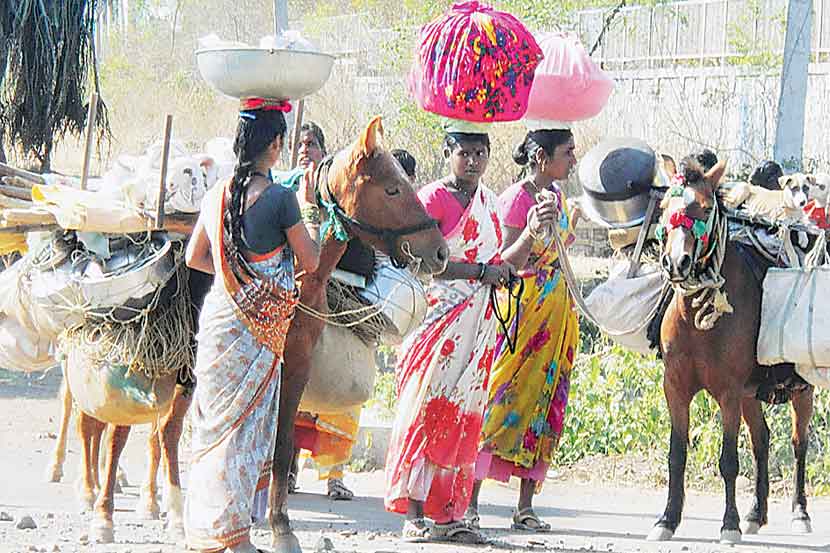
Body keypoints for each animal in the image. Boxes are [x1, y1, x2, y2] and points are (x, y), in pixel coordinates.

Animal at [268, 114, 448, 548]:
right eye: (392, 188)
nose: (440, 252)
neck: (302, 270)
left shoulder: (297, 363)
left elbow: (281, 443)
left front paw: (279, 523)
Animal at [652, 157, 816, 540]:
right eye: (664, 208)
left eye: (704, 208)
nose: (676, 263)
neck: (697, 318)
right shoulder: (675, 388)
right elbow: (676, 455)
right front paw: (667, 519)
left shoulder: (727, 391)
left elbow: (728, 460)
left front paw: (729, 524)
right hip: (749, 394)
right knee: (762, 441)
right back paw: (756, 513)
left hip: (800, 389)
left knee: (798, 444)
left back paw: (799, 512)